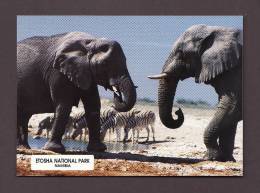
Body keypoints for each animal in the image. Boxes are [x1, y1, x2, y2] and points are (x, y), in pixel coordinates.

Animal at [149, 24, 243, 162]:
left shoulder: (236, 71)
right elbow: (229, 110)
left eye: (181, 53)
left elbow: (232, 107)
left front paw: (212, 158)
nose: (178, 111)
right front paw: (225, 159)